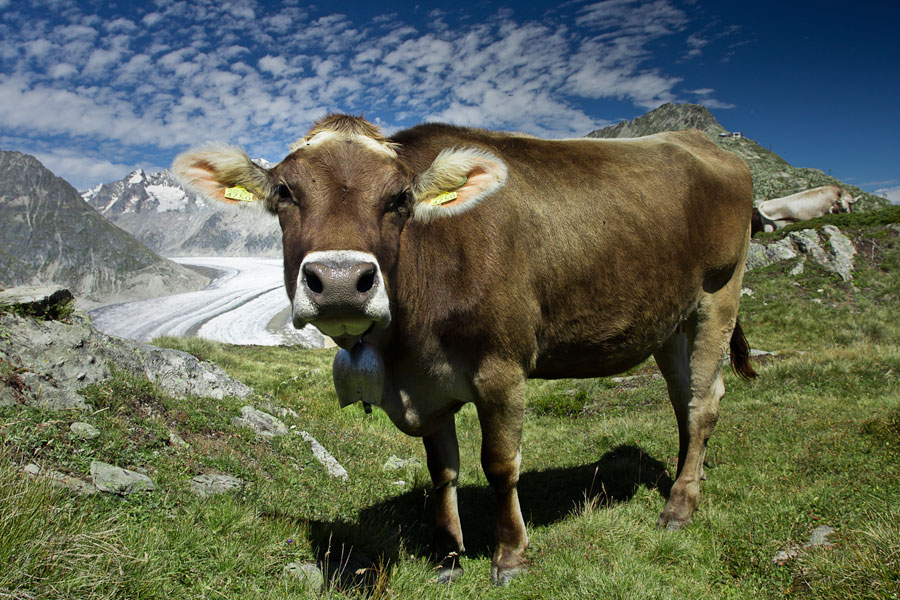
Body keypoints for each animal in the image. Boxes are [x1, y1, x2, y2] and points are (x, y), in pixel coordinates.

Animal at [172, 115, 756, 584]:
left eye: (400, 198)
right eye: (285, 193)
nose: (339, 281)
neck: (405, 350)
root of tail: (701, 140)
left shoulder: (502, 367)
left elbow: (499, 466)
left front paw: (510, 556)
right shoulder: (427, 387)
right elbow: (443, 470)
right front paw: (449, 554)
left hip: (717, 294)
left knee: (704, 403)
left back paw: (679, 507)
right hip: (669, 321)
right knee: (685, 400)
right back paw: (690, 479)